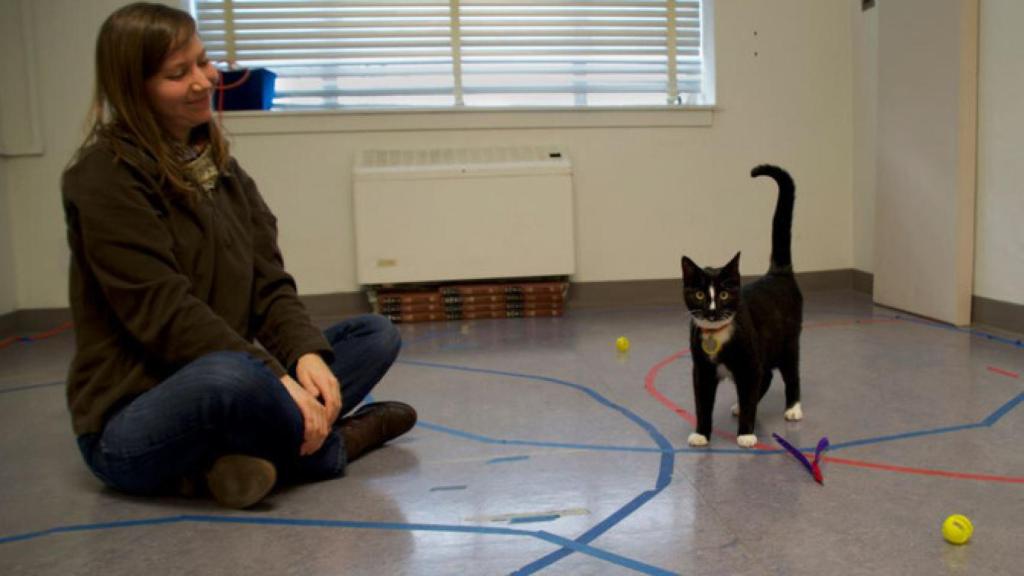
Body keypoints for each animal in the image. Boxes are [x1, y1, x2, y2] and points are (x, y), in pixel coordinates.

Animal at [684, 163, 802, 446]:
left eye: (724, 295)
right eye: (700, 295)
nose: (712, 311)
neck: (717, 336)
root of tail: (777, 273)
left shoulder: (748, 363)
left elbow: (750, 391)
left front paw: (746, 434)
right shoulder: (701, 370)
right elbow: (702, 404)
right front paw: (701, 433)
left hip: (788, 342)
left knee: (790, 373)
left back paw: (793, 408)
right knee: (766, 375)